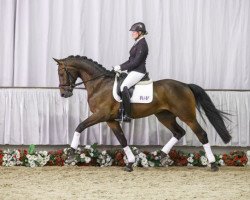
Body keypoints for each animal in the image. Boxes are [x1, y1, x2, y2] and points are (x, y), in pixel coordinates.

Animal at [53, 55, 231, 172]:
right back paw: (160, 155)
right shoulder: (111, 120)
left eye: (61, 73)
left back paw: (213, 164)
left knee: (201, 134)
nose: (64, 94)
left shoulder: (101, 115)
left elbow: (79, 126)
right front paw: (130, 163)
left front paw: (70, 154)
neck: (99, 84)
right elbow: (122, 139)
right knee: (179, 132)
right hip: (164, 115)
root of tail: (185, 85)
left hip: (187, 115)